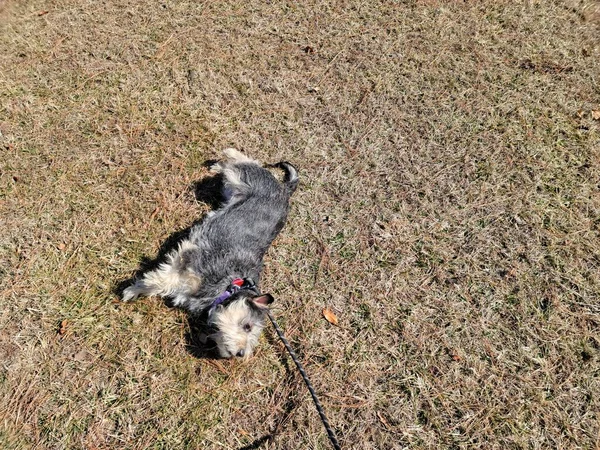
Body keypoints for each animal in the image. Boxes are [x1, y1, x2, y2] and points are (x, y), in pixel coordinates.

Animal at [121, 149, 298, 360]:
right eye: (247, 326)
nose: (240, 354)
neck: (229, 284)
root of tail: (284, 190)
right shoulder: (188, 258)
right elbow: (160, 280)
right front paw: (134, 290)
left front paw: (137, 290)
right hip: (242, 177)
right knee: (244, 162)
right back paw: (224, 158)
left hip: (231, 187)